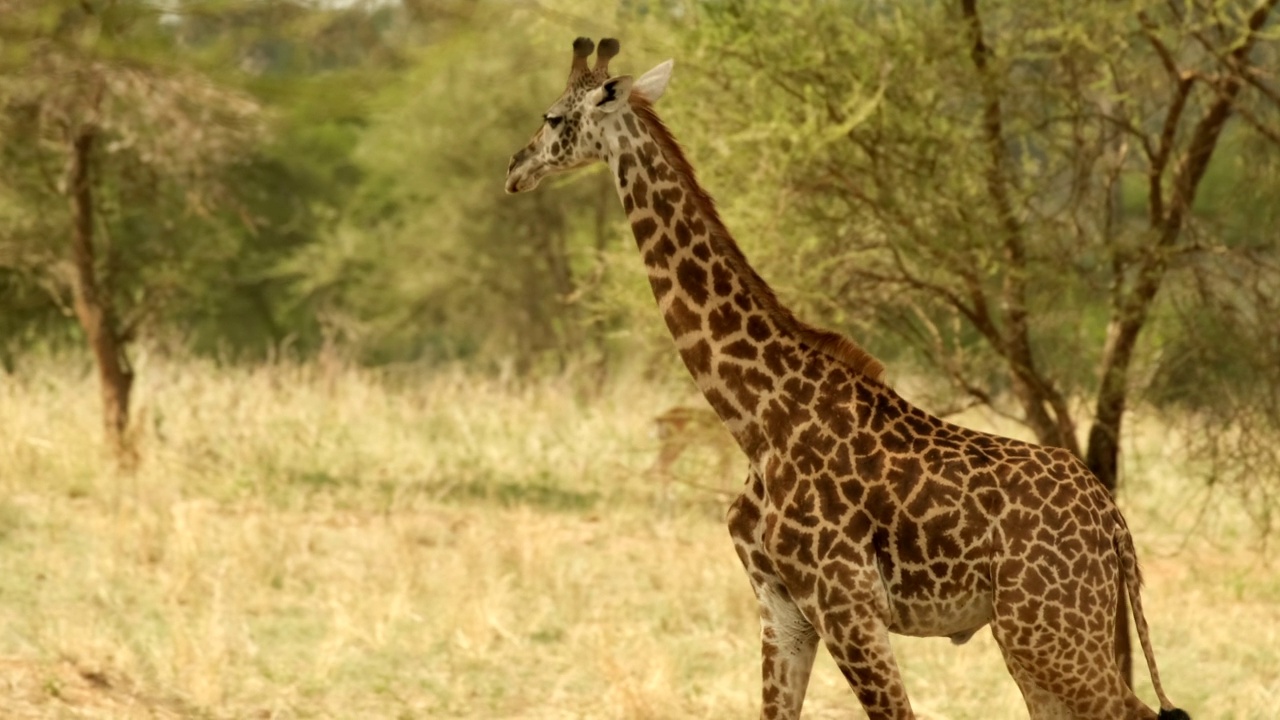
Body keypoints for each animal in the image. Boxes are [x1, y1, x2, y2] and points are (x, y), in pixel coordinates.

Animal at [501, 37, 1187, 717]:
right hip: (1034, 637)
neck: (756, 416)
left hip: (1051, 630)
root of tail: (1115, 525)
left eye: (553, 118)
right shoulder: (782, 607)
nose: (514, 168)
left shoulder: (844, 603)